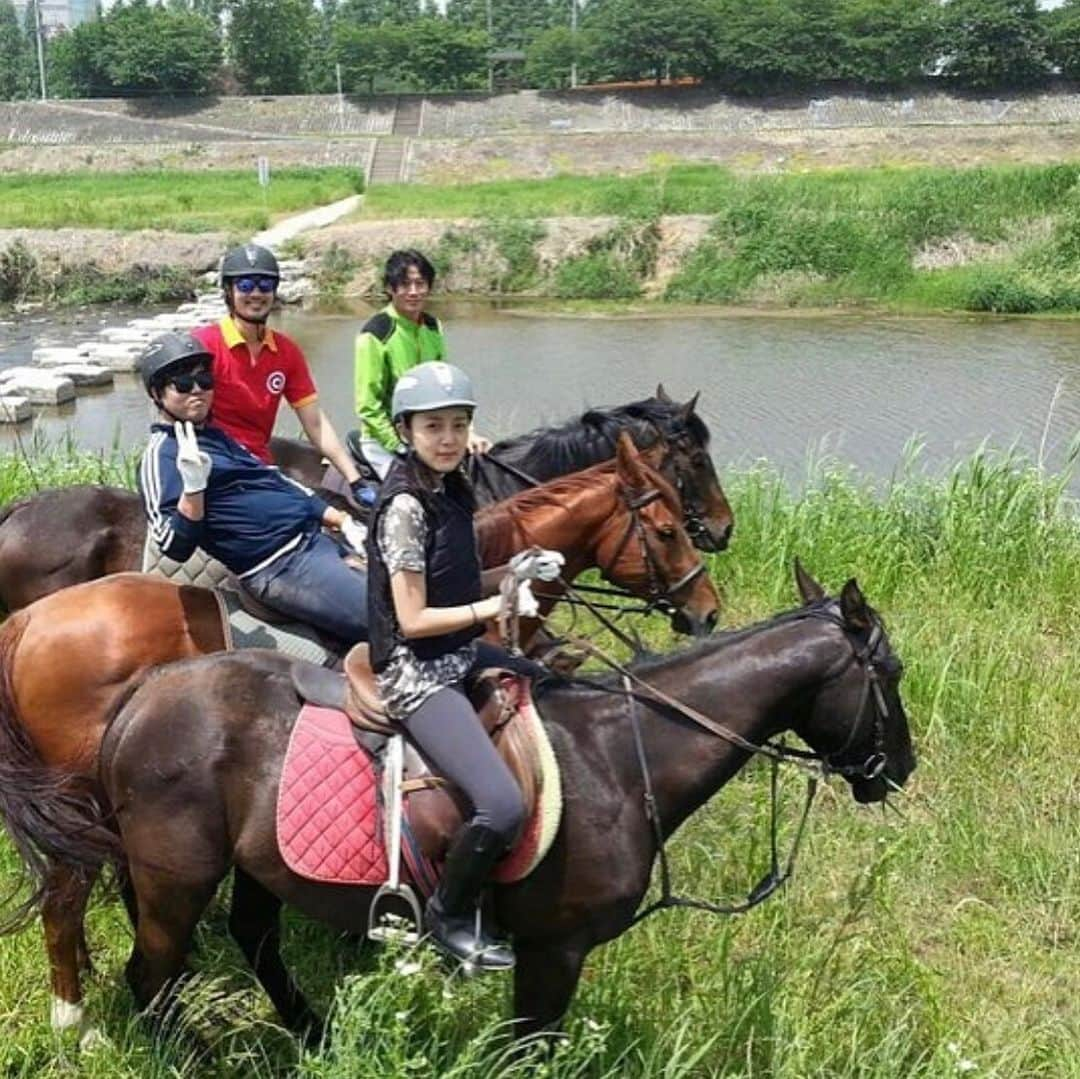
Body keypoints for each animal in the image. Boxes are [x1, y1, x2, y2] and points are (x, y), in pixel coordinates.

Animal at [0, 434, 717, 1041]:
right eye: (667, 527)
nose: (706, 610)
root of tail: (31, 624)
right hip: (81, 798)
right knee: (66, 894)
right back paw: (75, 1019)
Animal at [79, 565, 915, 1045]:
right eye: (893, 672)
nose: (899, 769)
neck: (621, 752)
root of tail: (146, 691)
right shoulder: (555, 948)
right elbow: (529, 1045)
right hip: (176, 877)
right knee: (150, 977)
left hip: (260, 865)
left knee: (254, 942)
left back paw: (314, 1034)